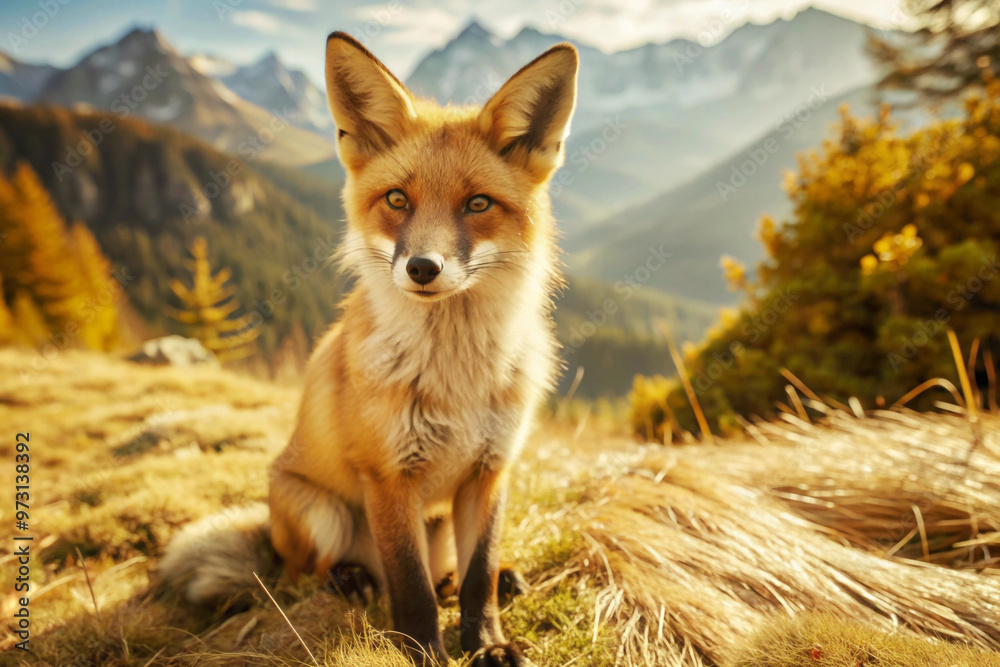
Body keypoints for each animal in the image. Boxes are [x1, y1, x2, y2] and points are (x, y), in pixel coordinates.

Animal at [159, 32, 578, 666]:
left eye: (478, 204)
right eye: (398, 199)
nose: (423, 267)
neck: (455, 382)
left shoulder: (490, 472)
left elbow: (478, 577)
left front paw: (488, 644)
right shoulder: (388, 477)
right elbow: (409, 586)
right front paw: (423, 651)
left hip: (440, 519)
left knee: (452, 573)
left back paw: (493, 577)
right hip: (324, 514)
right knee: (306, 572)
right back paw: (348, 580)